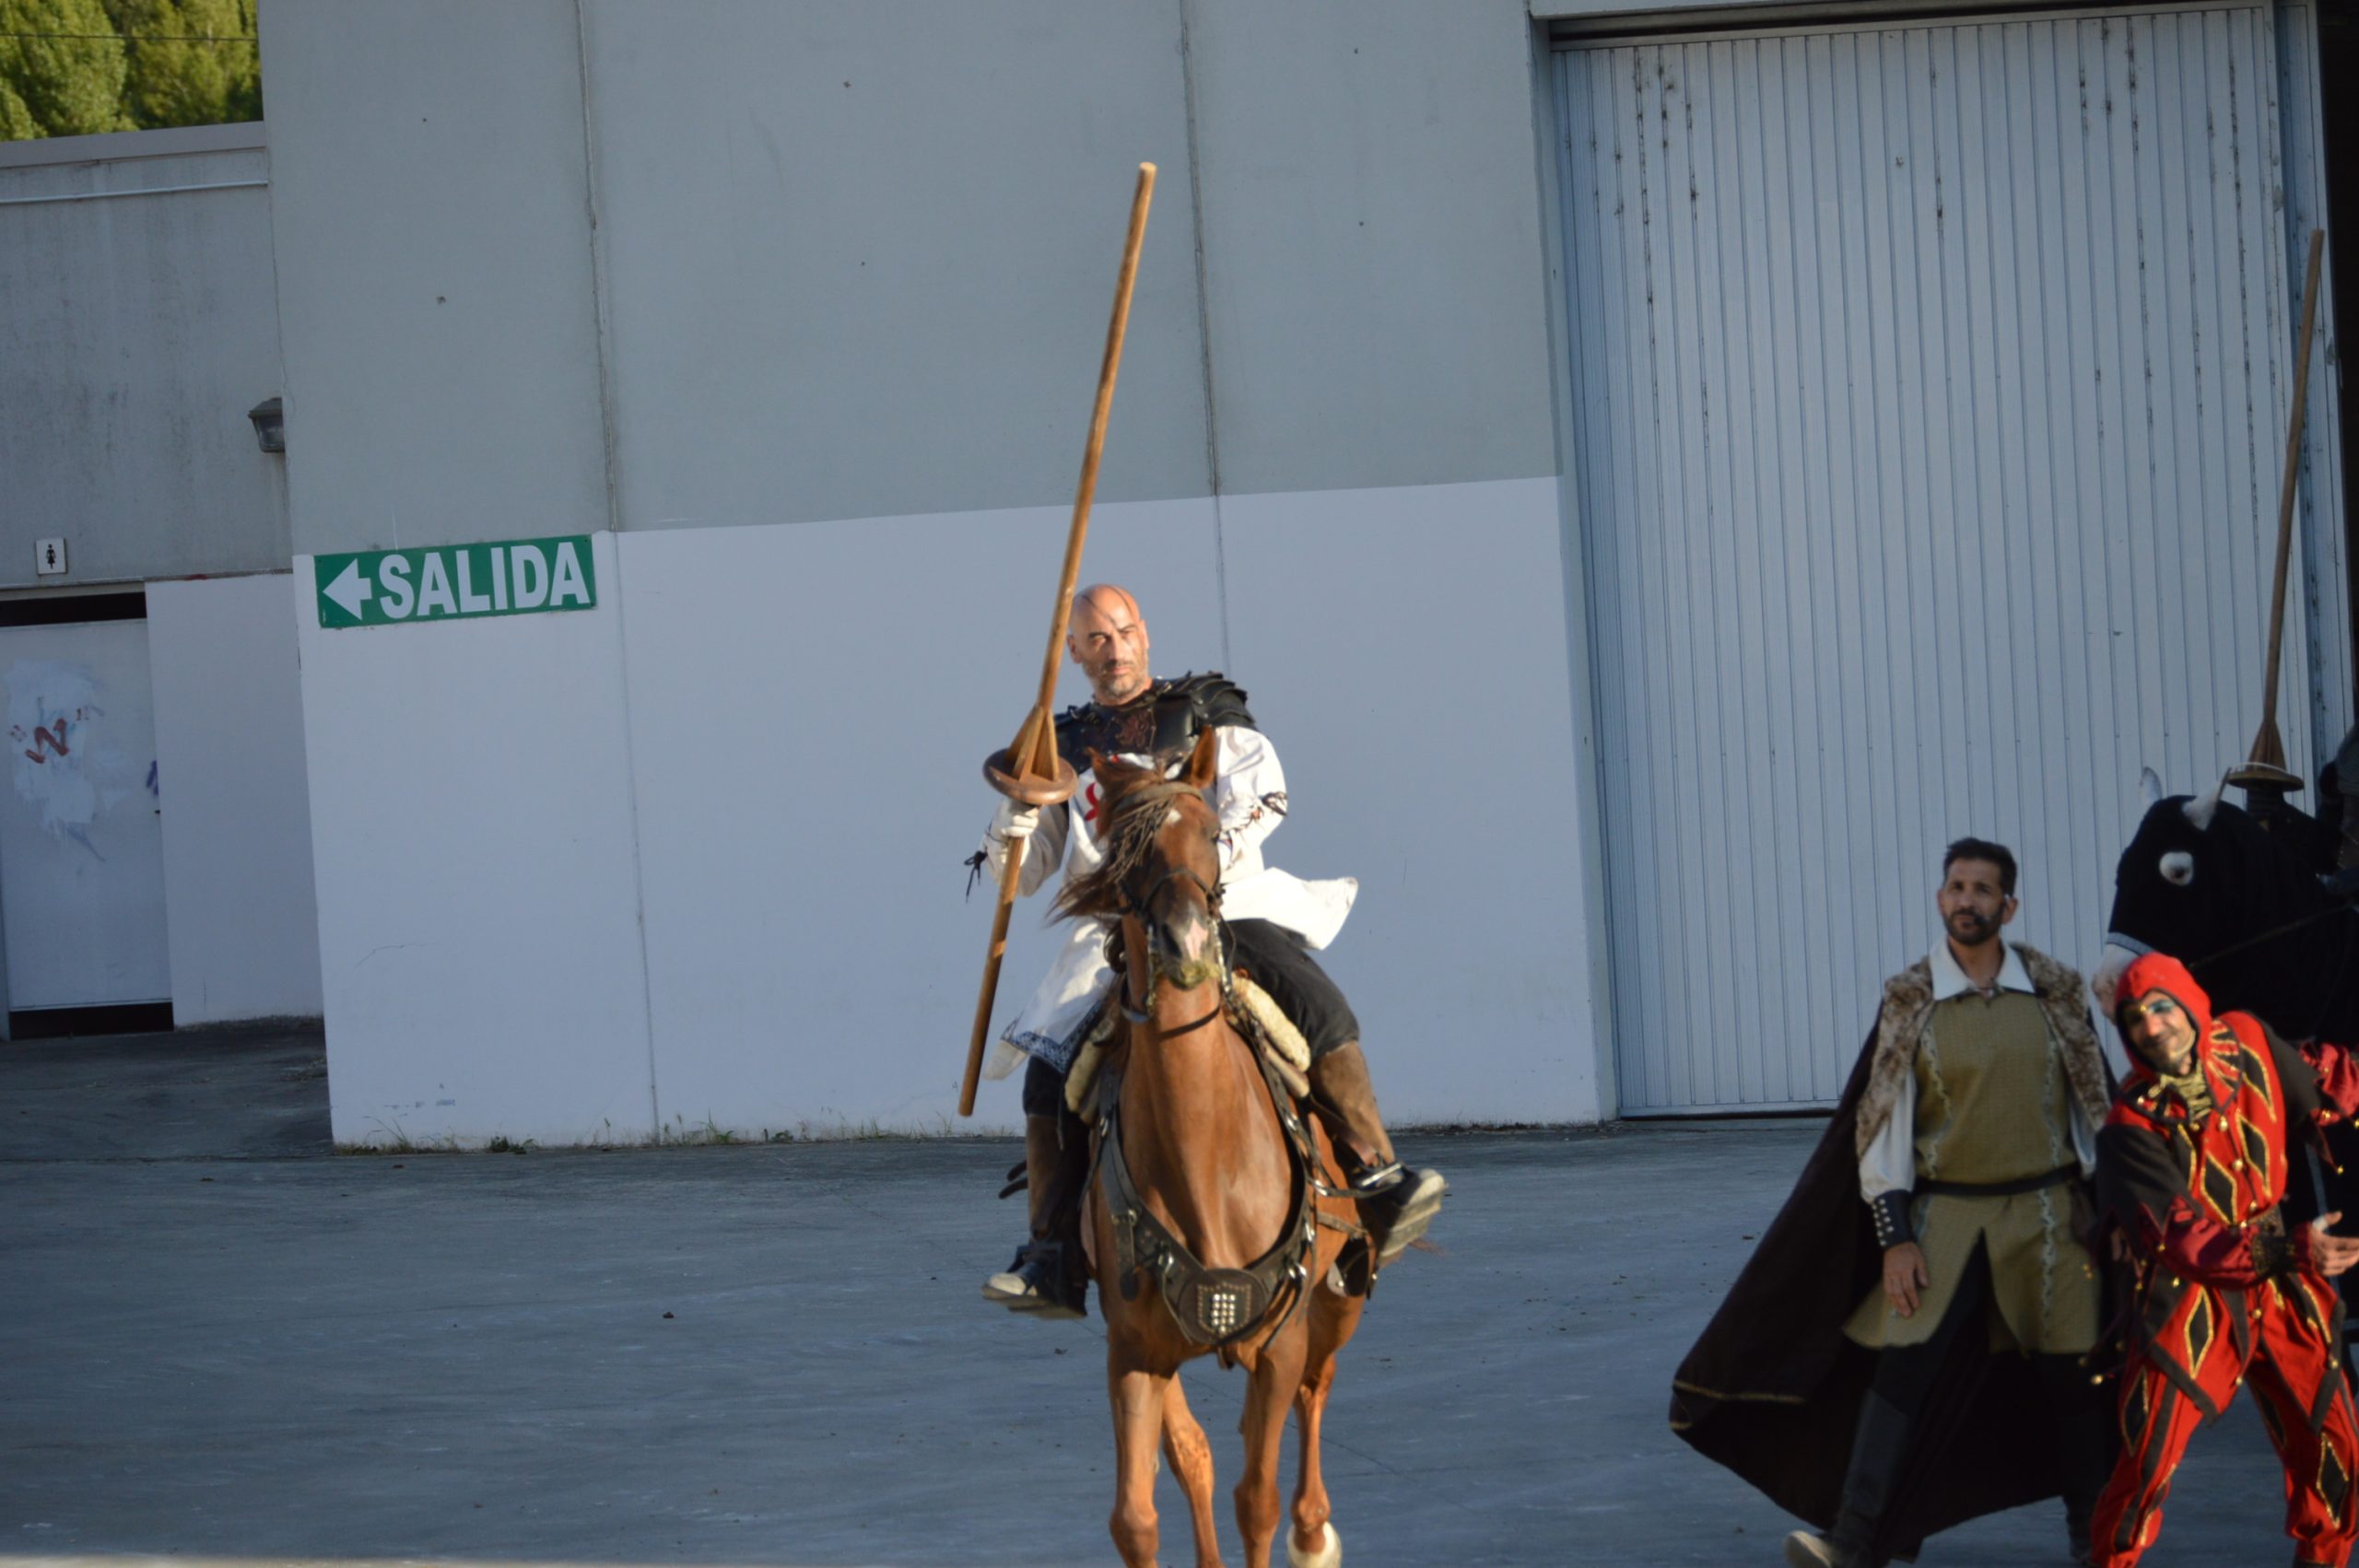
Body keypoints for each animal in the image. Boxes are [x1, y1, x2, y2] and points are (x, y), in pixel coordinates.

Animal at [1062, 726, 1378, 1565]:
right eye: (1126, 847)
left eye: (1210, 834)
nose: (1188, 943)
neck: (1205, 1158)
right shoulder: (1134, 1351)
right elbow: (1142, 1512)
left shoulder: (1281, 1342)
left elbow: (1256, 1500)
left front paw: (1296, 1530)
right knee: (1199, 1453)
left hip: (1340, 1295)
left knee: (1317, 1393)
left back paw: (1314, 1532)